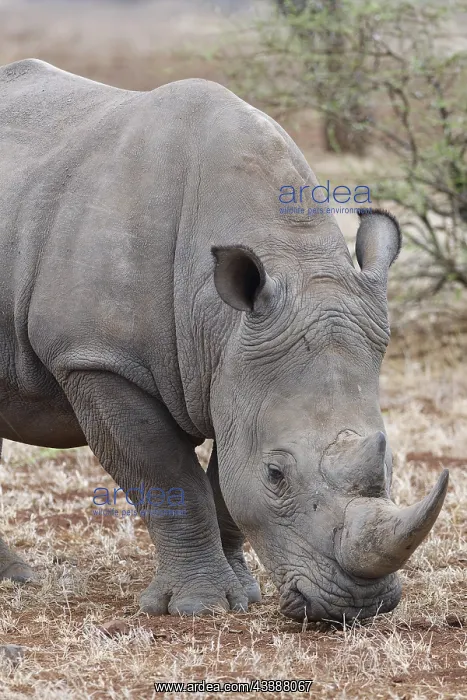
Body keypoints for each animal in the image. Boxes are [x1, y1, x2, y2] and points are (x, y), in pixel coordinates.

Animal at [0, 59, 449, 621]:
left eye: (391, 464)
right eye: (277, 474)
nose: (357, 607)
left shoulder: (236, 369)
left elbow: (224, 485)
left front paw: (244, 596)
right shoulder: (97, 358)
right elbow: (170, 478)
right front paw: (198, 606)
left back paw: (15, 576)